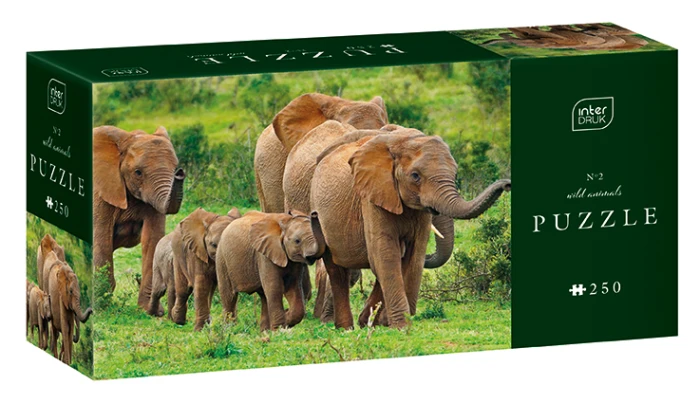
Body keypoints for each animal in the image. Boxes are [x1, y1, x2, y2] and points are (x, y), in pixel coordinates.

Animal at [92, 125, 185, 312]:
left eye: (174, 168)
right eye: (138, 173)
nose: (180, 173)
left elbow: (152, 240)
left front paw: (149, 310)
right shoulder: (100, 192)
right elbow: (101, 238)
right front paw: (102, 308)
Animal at [309, 127, 511, 329]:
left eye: (454, 175)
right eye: (415, 176)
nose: (507, 184)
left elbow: (415, 253)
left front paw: (390, 323)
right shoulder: (371, 195)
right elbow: (385, 252)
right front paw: (402, 326)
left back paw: (366, 322)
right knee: (337, 271)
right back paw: (346, 327)